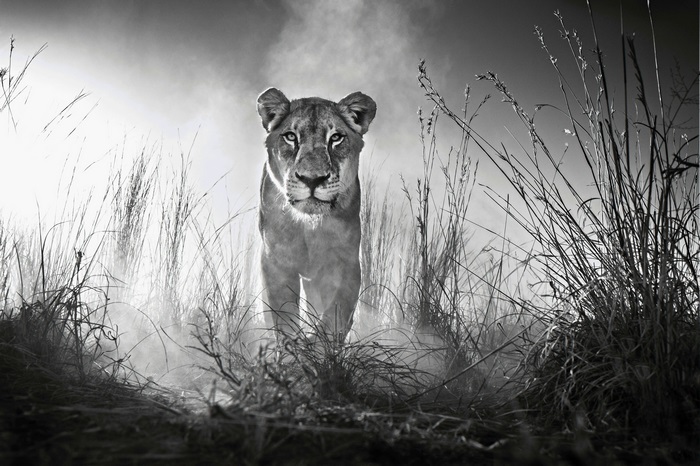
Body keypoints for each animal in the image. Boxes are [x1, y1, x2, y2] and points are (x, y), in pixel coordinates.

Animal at [256, 87, 376, 343]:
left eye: (336, 138)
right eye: (291, 137)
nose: (312, 179)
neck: (309, 227)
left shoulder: (345, 262)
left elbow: (335, 314)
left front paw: (317, 345)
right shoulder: (275, 261)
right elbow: (283, 315)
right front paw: (292, 347)